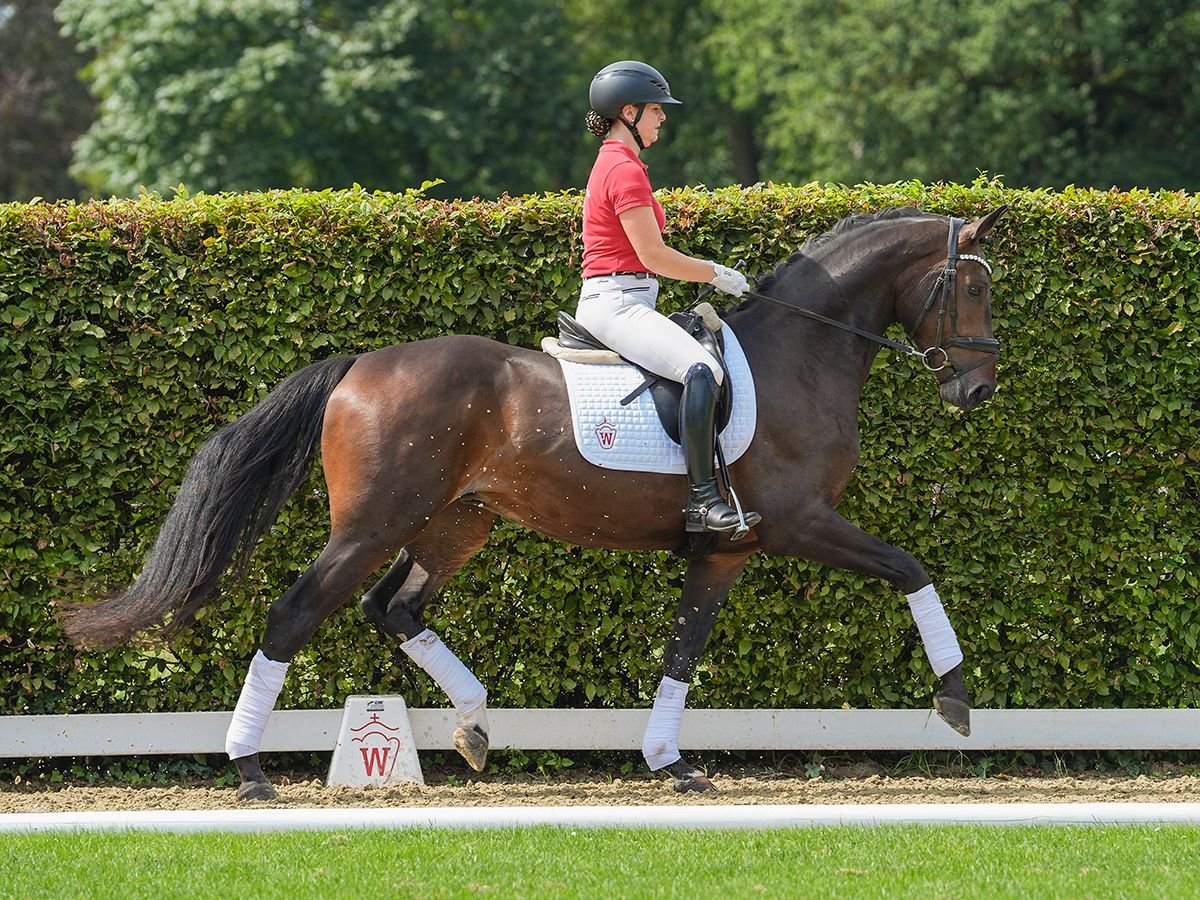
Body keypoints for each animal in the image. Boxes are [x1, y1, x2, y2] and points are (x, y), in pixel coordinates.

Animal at [60, 202, 1008, 796]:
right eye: (973, 287)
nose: (978, 392)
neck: (797, 355)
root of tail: (359, 366)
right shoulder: (796, 524)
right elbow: (910, 567)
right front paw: (957, 698)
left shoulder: (726, 552)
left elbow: (682, 652)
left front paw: (669, 761)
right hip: (373, 524)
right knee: (297, 614)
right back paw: (250, 769)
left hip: (456, 522)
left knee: (394, 608)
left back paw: (475, 726)